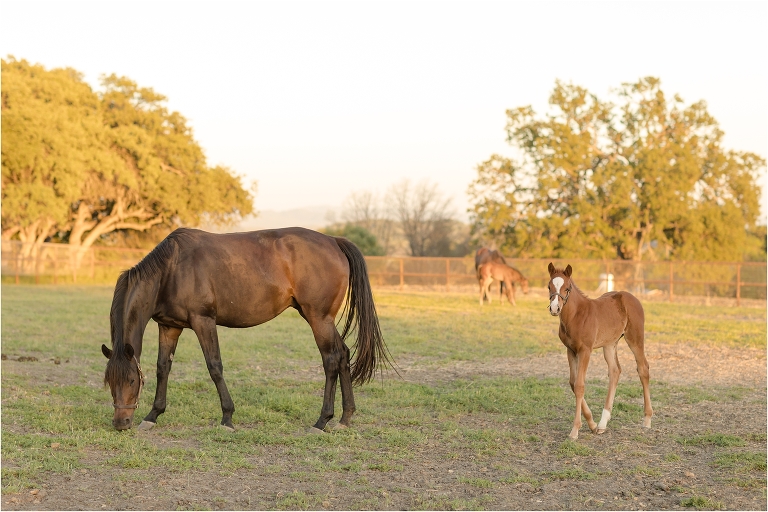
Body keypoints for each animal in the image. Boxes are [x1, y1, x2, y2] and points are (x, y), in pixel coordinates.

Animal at [102, 227, 391, 433]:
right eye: (109, 382)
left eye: (131, 381)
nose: (120, 422)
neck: (171, 269)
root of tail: (333, 241)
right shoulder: (170, 326)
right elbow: (163, 368)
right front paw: (153, 415)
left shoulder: (203, 321)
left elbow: (214, 367)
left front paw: (227, 418)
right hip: (322, 320)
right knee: (343, 355)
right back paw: (345, 418)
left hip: (318, 318)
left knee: (331, 360)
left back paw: (322, 421)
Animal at [547, 262, 652, 440]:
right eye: (549, 286)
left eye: (567, 288)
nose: (555, 308)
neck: (576, 315)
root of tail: (631, 296)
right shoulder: (570, 350)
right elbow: (573, 383)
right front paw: (592, 424)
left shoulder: (585, 350)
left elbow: (580, 385)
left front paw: (575, 430)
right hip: (609, 344)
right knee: (615, 371)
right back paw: (603, 423)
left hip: (635, 338)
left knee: (643, 368)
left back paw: (647, 419)